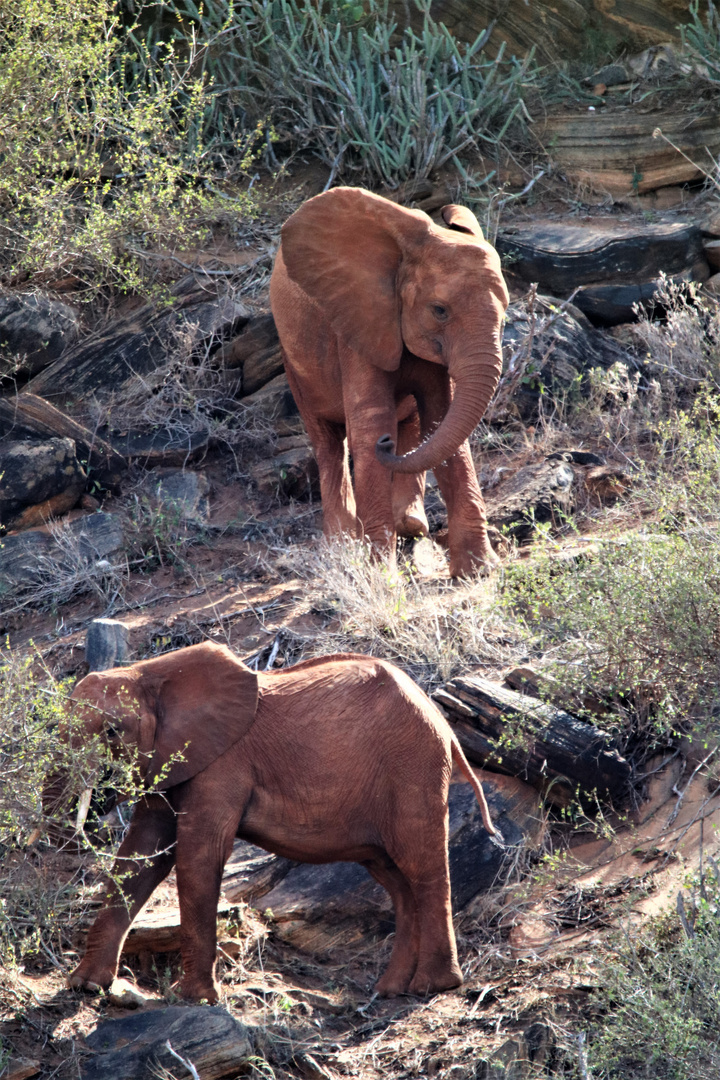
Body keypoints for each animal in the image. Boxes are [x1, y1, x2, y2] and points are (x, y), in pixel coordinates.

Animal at [49, 639, 500, 1002]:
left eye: (111, 731)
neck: (151, 671)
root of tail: (446, 726)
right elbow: (142, 854)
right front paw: (85, 986)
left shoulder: (223, 763)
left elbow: (198, 855)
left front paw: (195, 999)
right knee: (397, 881)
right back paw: (390, 990)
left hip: (414, 767)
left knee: (422, 866)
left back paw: (434, 986)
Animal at [269, 187, 511, 574]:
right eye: (439, 311)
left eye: (505, 315)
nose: (386, 445)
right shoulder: (359, 322)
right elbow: (371, 423)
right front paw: (381, 575)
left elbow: (442, 420)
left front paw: (479, 571)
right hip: (293, 358)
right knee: (327, 441)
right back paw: (341, 544)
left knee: (411, 425)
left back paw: (410, 525)